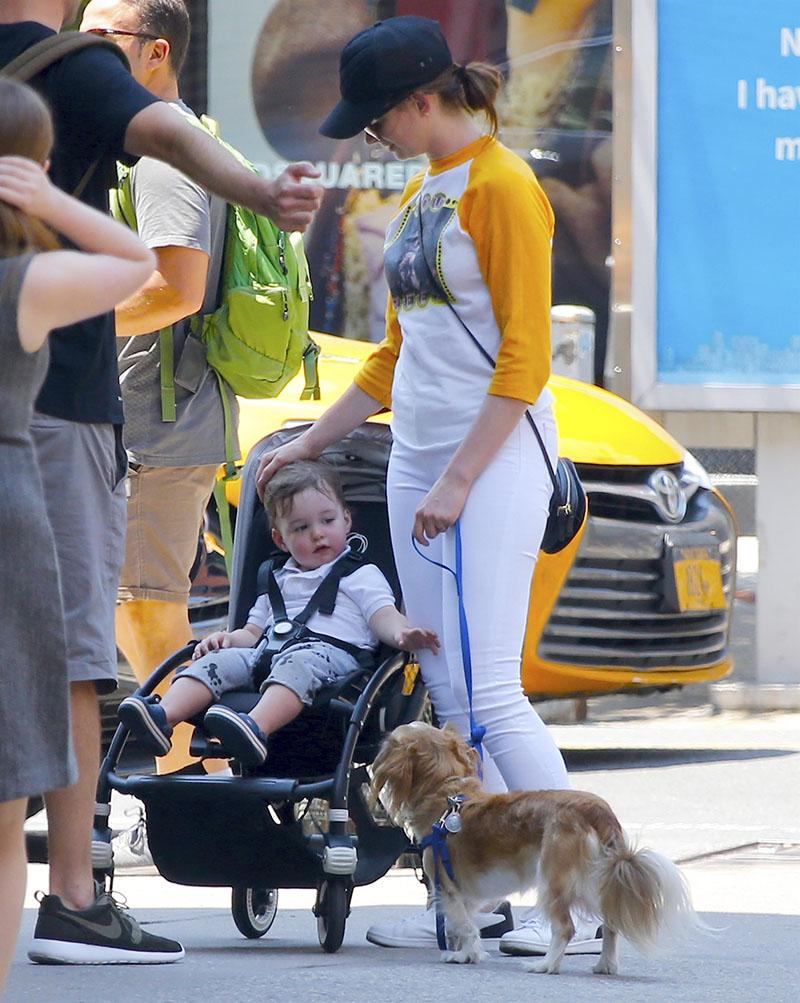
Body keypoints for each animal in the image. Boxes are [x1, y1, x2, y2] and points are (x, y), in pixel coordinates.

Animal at [372, 722, 705, 970]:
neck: (448, 794)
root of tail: (599, 812)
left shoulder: (448, 888)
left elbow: (462, 926)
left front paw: (466, 955)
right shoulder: (466, 894)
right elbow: (465, 926)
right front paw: (466, 952)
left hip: (554, 880)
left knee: (566, 928)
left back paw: (546, 965)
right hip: (594, 882)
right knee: (611, 923)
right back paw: (604, 965)